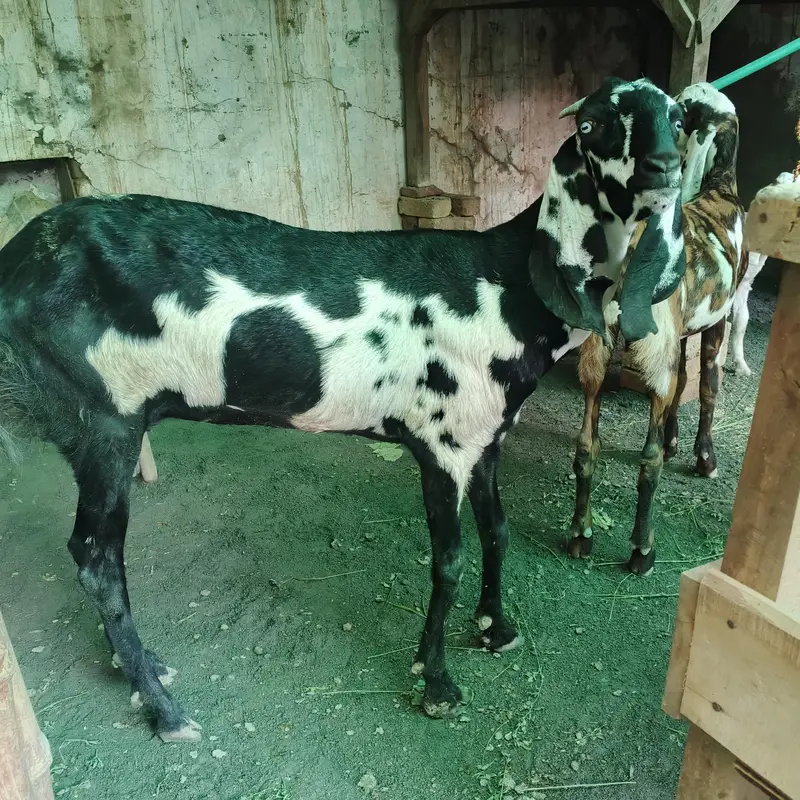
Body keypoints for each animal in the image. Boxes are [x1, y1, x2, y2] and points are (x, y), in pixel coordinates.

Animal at [0, 77, 686, 740]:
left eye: (679, 116)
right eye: (591, 124)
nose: (665, 165)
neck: (503, 285)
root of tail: (17, 261)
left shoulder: (482, 439)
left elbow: (497, 532)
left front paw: (496, 629)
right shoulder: (438, 442)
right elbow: (448, 561)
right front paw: (436, 683)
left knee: (90, 552)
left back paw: (140, 669)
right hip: (104, 420)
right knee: (97, 560)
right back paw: (164, 709)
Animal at [568, 82, 743, 576]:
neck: (720, 190)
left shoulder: (680, 333)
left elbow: (686, 379)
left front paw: (674, 441)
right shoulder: (717, 321)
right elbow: (707, 385)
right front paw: (704, 458)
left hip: (597, 350)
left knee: (586, 444)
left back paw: (581, 535)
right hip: (654, 348)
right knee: (647, 461)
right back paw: (641, 550)